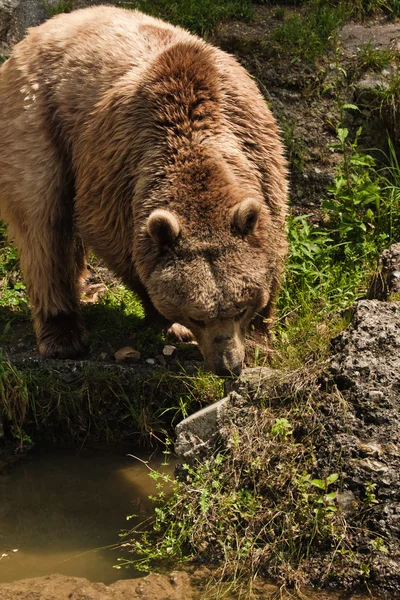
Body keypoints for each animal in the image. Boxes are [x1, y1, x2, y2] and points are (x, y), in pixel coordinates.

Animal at [0, 7, 288, 376]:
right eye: (197, 315)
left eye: (240, 307)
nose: (227, 365)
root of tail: (46, 26)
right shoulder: (117, 172)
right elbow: (121, 247)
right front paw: (169, 321)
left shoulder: (260, 155)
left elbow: (272, 246)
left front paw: (260, 335)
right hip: (36, 116)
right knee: (41, 220)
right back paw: (62, 333)